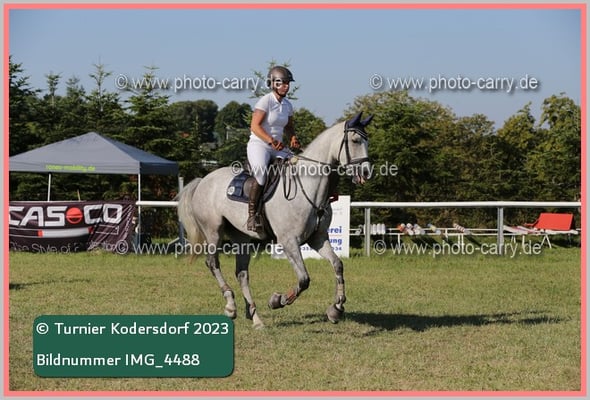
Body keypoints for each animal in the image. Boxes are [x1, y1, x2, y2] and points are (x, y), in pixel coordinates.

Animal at [177, 112, 373, 328]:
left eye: (367, 140)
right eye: (355, 140)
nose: (366, 172)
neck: (309, 186)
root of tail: (203, 180)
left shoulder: (318, 238)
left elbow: (338, 265)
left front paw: (336, 308)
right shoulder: (288, 242)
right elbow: (304, 279)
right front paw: (277, 300)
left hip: (241, 237)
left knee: (242, 273)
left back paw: (255, 317)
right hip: (213, 232)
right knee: (213, 263)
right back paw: (230, 306)